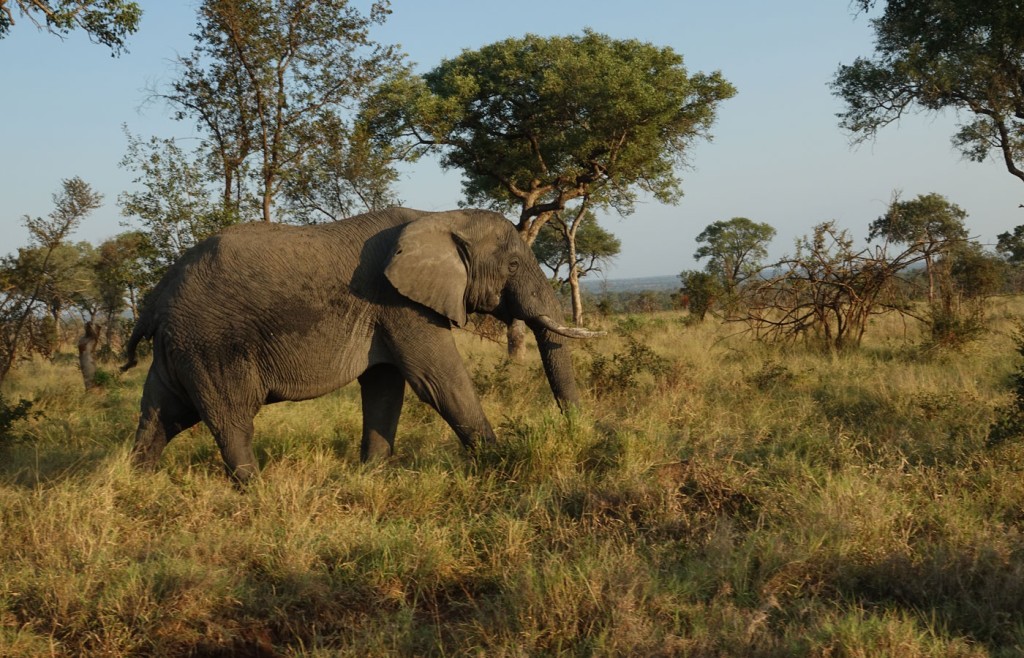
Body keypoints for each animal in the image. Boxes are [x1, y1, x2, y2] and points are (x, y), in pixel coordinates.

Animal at [121, 208, 598, 480]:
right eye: (513, 264)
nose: (578, 433)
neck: (441, 216)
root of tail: (157, 297)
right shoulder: (400, 302)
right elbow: (438, 381)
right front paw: (499, 465)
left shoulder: (387, 311)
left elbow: (385, 387)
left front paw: (372, 478)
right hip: (210, 344)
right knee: (230, 419)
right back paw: (256, 490)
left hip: (179, 348)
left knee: (162, 416)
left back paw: (137, 483)